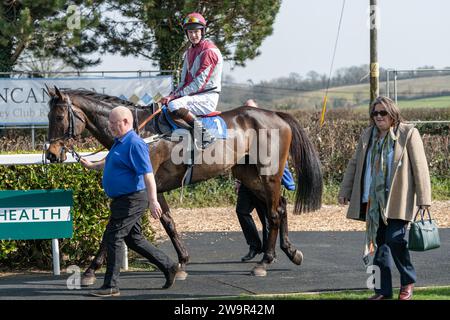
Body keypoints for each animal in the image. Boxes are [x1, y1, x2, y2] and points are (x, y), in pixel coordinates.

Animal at [44, 86, 322, 282]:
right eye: (48, 115)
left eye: (58, 116)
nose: (51, 154)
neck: (141, 132)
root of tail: (276, 115)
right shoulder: (154, 190)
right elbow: (168, 222)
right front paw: (182, 262)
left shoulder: (145, 187)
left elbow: (114, 228)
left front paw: (90, 270)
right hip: (249, 176)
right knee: (281, 206)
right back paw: (290, 252)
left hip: (268, 174)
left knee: (274, 213)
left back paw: (265, 261)